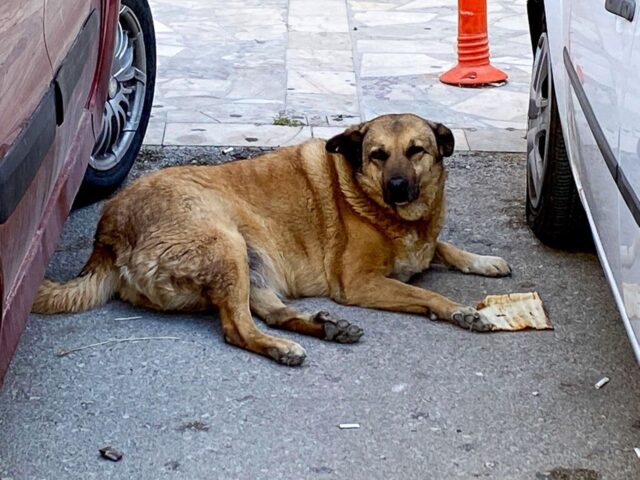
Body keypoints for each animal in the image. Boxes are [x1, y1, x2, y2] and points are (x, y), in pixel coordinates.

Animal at [33, 114, 510, 366]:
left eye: (416, 151)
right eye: (378, 155)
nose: (397, 187)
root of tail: (107, 232)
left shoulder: (422, 244)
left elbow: (444, 248)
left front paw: (485, 261)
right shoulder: (359, 283)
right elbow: (425, 293)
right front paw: (460, 311)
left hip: (248, 262)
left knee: (270, 312)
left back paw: (323, 327)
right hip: (224, 244)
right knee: (237, 328)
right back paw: (281, 347)